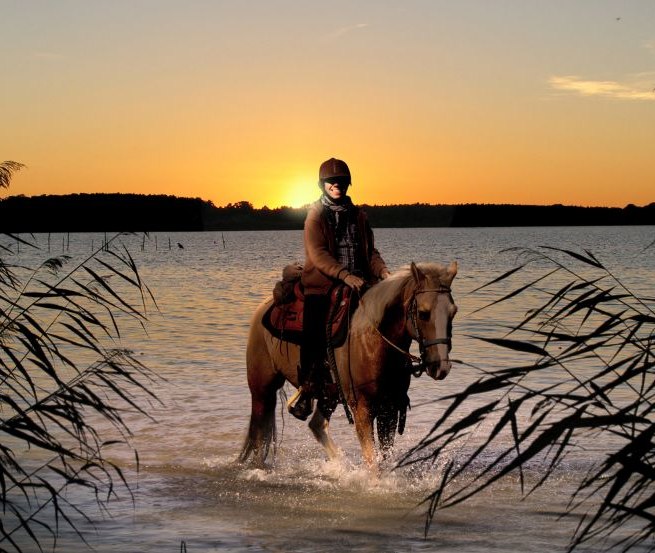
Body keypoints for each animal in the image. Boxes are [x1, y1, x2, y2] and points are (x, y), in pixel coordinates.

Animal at [238, 260, 458, 470]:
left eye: (453, 312)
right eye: (423, 313)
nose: (440, 366)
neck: (373, 342)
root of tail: (264, 307)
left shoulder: (389, 410)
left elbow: (383, 459)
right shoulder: (362, 410)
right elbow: (371, 462)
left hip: (328, 394)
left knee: (316, 426)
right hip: (262, 389)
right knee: (259, 435)